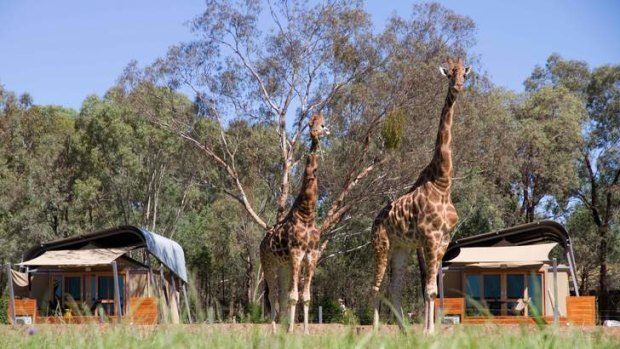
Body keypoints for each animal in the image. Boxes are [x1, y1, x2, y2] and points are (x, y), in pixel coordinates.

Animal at [260, 113, 330, 334]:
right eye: (310, 124)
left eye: (322, 124)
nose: (316, 134)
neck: (306, 215)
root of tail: (261, 242)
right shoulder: (296, 253)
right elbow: (294, 296)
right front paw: (291, 331)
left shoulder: (312, 255)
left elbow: (304, 297)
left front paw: (304, 331)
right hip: (268, 263)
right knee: (273, 296)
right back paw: (275, 331)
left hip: (284, 266)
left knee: (281, 296)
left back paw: (282, 329)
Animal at [370, 57, 472, 332]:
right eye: (449, 73)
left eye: (465, 74)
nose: (458, 86)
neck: (443, 183)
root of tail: (374, 222)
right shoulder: (429, 238)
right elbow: (428, 290)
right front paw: (428, 331)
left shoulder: (443, 240)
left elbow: (433, 290)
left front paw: (430, 330)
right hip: (381, 245)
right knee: (376, 288)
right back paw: (375, 330)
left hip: (401, 249)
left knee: (393, 289)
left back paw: (405, 331)